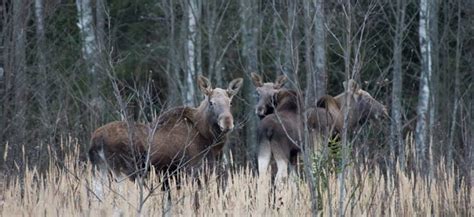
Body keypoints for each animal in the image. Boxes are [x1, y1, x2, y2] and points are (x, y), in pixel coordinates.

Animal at [89, 75, 243, 181]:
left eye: (230, 102)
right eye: (211, 103)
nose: (227, 123)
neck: (209, 140)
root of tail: (96, 140)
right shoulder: (191, 170)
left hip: (100, 171)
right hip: (120, 172)